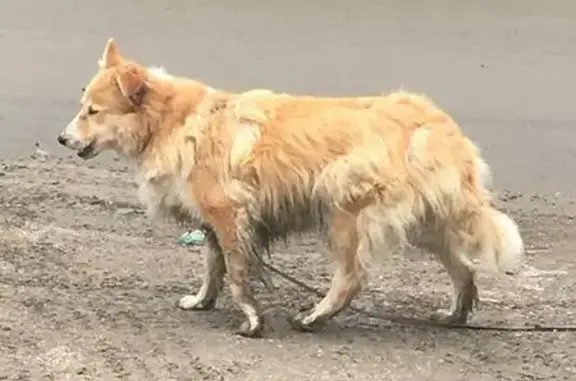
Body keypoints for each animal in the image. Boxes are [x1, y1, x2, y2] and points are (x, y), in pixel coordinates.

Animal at [57, 37, 520, 336]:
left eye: (93, 111)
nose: (62, 138)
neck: (172, 121)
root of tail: (434, 124)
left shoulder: (230, 214)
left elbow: (237, 274)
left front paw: (251, 320)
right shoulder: (215, 223)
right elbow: (212, 267)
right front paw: (203, 301)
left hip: (346, 212)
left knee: (352, 277)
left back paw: (315, 317)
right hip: (428, 220)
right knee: (463, 268)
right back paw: (456, 315)